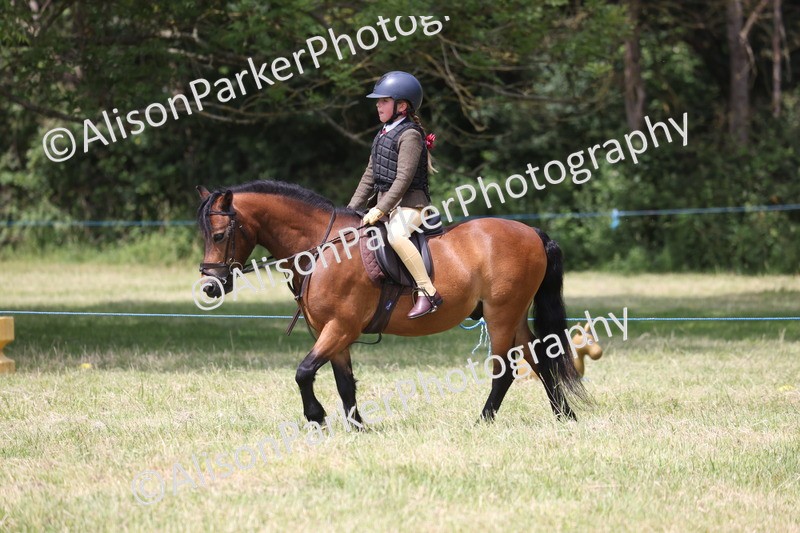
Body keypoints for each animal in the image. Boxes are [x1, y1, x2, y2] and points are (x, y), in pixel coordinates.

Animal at [195, 180, 588, 425]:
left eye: (220, 235)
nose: (211, 287)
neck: (324, 249)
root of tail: (532, 232)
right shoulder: (331, 333)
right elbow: (344, 382)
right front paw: (357, 427)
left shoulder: (340, 327)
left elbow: (304, 372)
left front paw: (317, 417)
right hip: (514, 315)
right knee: (541, 359)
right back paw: (564, 416)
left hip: (500, 316)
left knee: (505, 371)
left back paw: (484, 421)